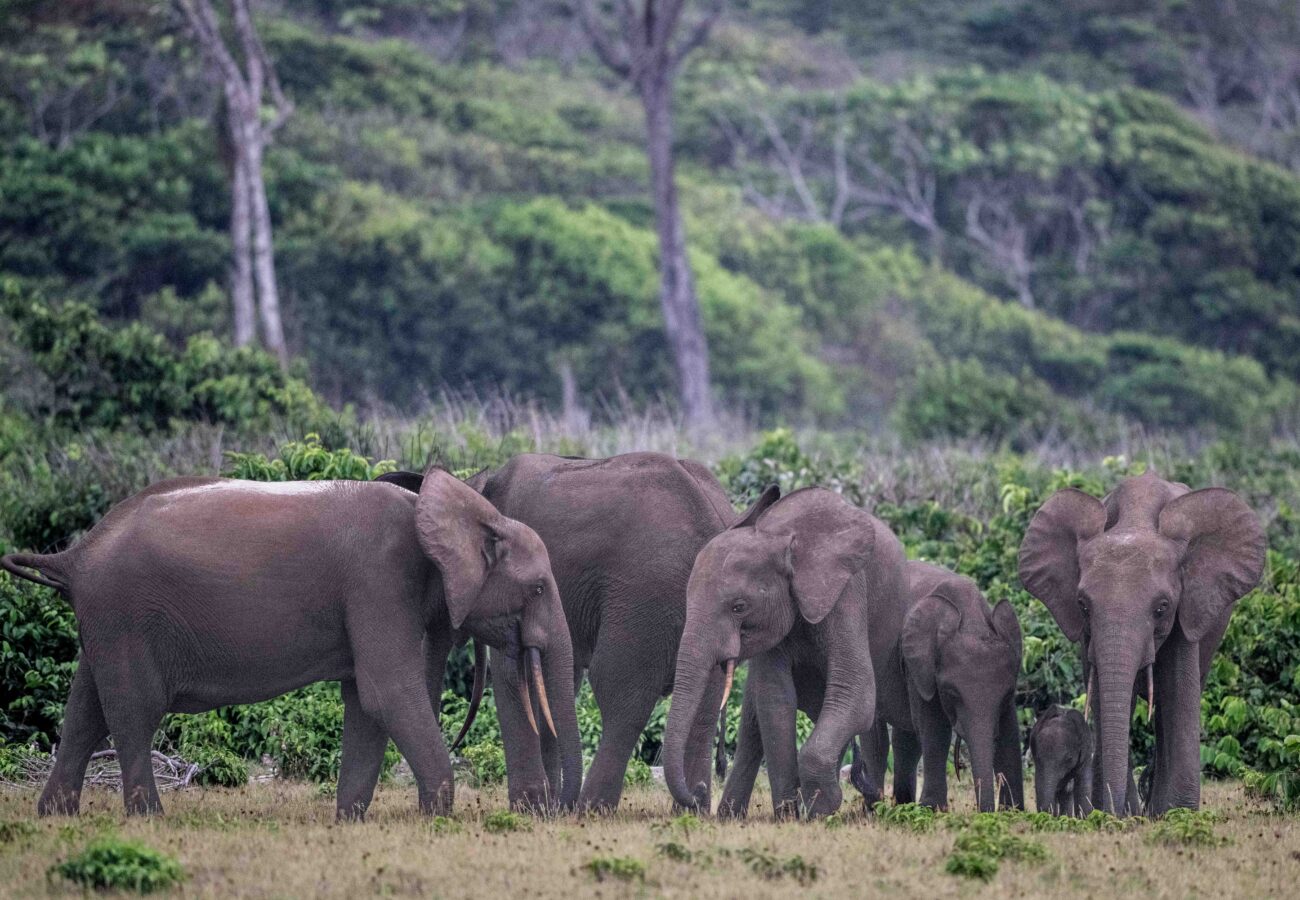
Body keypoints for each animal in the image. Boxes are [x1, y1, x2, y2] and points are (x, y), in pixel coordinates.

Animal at [0, 470, 581, 819]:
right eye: (537, 588)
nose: (561, 813)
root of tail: (75, 556)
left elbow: (365, 702)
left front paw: (350, 821)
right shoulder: (378, 581)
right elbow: (388, 693)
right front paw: (435, 818)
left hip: (105, 619)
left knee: (85, 706)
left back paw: (56, 816)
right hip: (125, 613)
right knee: (133, 710)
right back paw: (150, 819)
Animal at [380, 452, 758, 812]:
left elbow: (514, 674)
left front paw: (531, 809)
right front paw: (545, 804)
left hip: (645, 591)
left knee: (620, 690)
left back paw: (591, 808)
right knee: (704, 702)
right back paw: (690, 807)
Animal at [662, 486, 909, 820]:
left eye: (739, 607)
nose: (699, 790)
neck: (779, 539)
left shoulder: (847, 591)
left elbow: (855, 691)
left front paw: (820, 806)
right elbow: (775, 701)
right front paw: (790, 815)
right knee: (753, 727)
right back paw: (730, 816)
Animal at [859, 560, 1023, 813]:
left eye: (1007, 695)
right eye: (950, 694)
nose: (982, 811)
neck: (971, 620)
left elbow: (1010, 731)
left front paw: (1013, 812)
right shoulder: (917, 665)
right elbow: (934, 727)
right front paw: (933, 809)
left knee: (906, 741)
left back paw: (904, 806)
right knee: (878, 739)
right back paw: (875, 810)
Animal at [1019, 471, 1265, 815]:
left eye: (1161, 608)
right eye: (1083, 605)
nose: (1115, 812)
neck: (1135, 521)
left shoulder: (1187, 607)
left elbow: (1177, 690)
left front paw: (1177, 812)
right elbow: (1102, 695)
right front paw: (1121, 812)